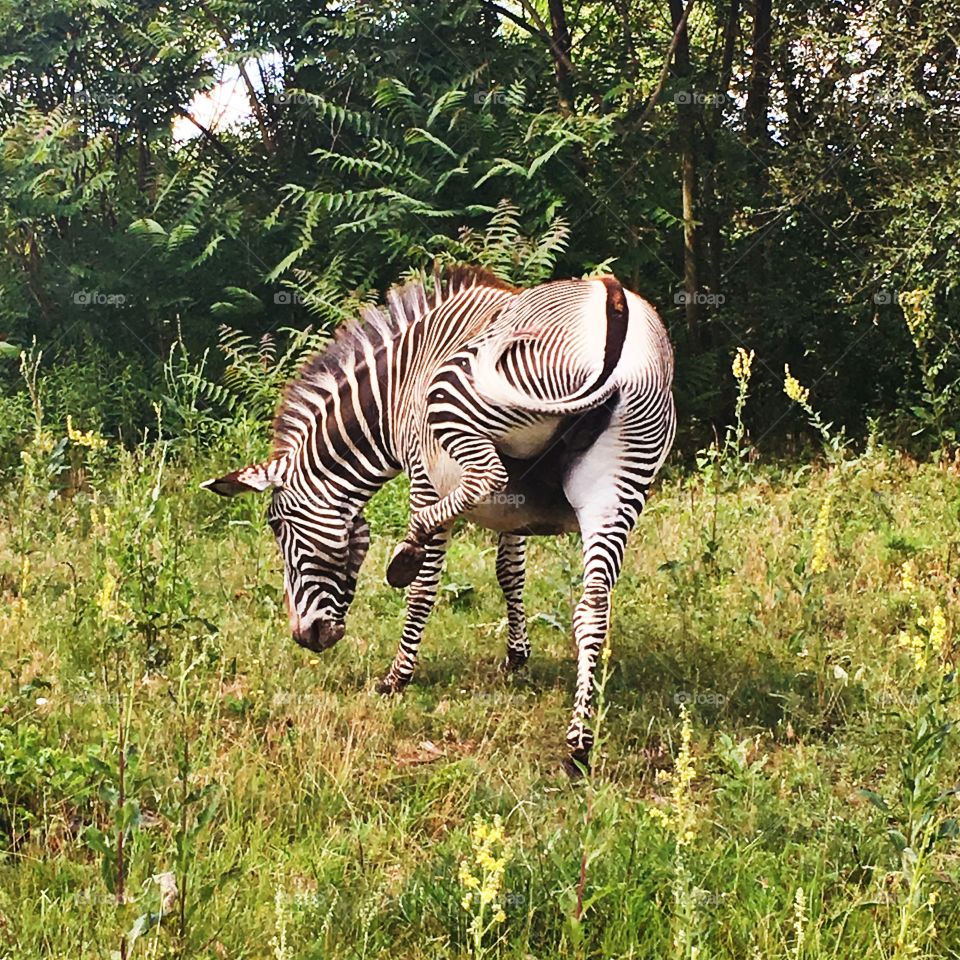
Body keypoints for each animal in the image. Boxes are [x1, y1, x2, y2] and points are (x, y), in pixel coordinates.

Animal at [202, 266, 675, 773]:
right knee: (593, 609)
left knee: (482, 481)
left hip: (455, 401)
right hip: (619, 485)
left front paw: (397, 676)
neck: (391, 395)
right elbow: (510, 573)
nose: (306, 638)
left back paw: (406, 553)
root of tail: (612, 301)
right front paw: (517, 657)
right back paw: (579, 744)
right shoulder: (515, 509)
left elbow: (424, 589)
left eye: (276, 527)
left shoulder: (425, 471)